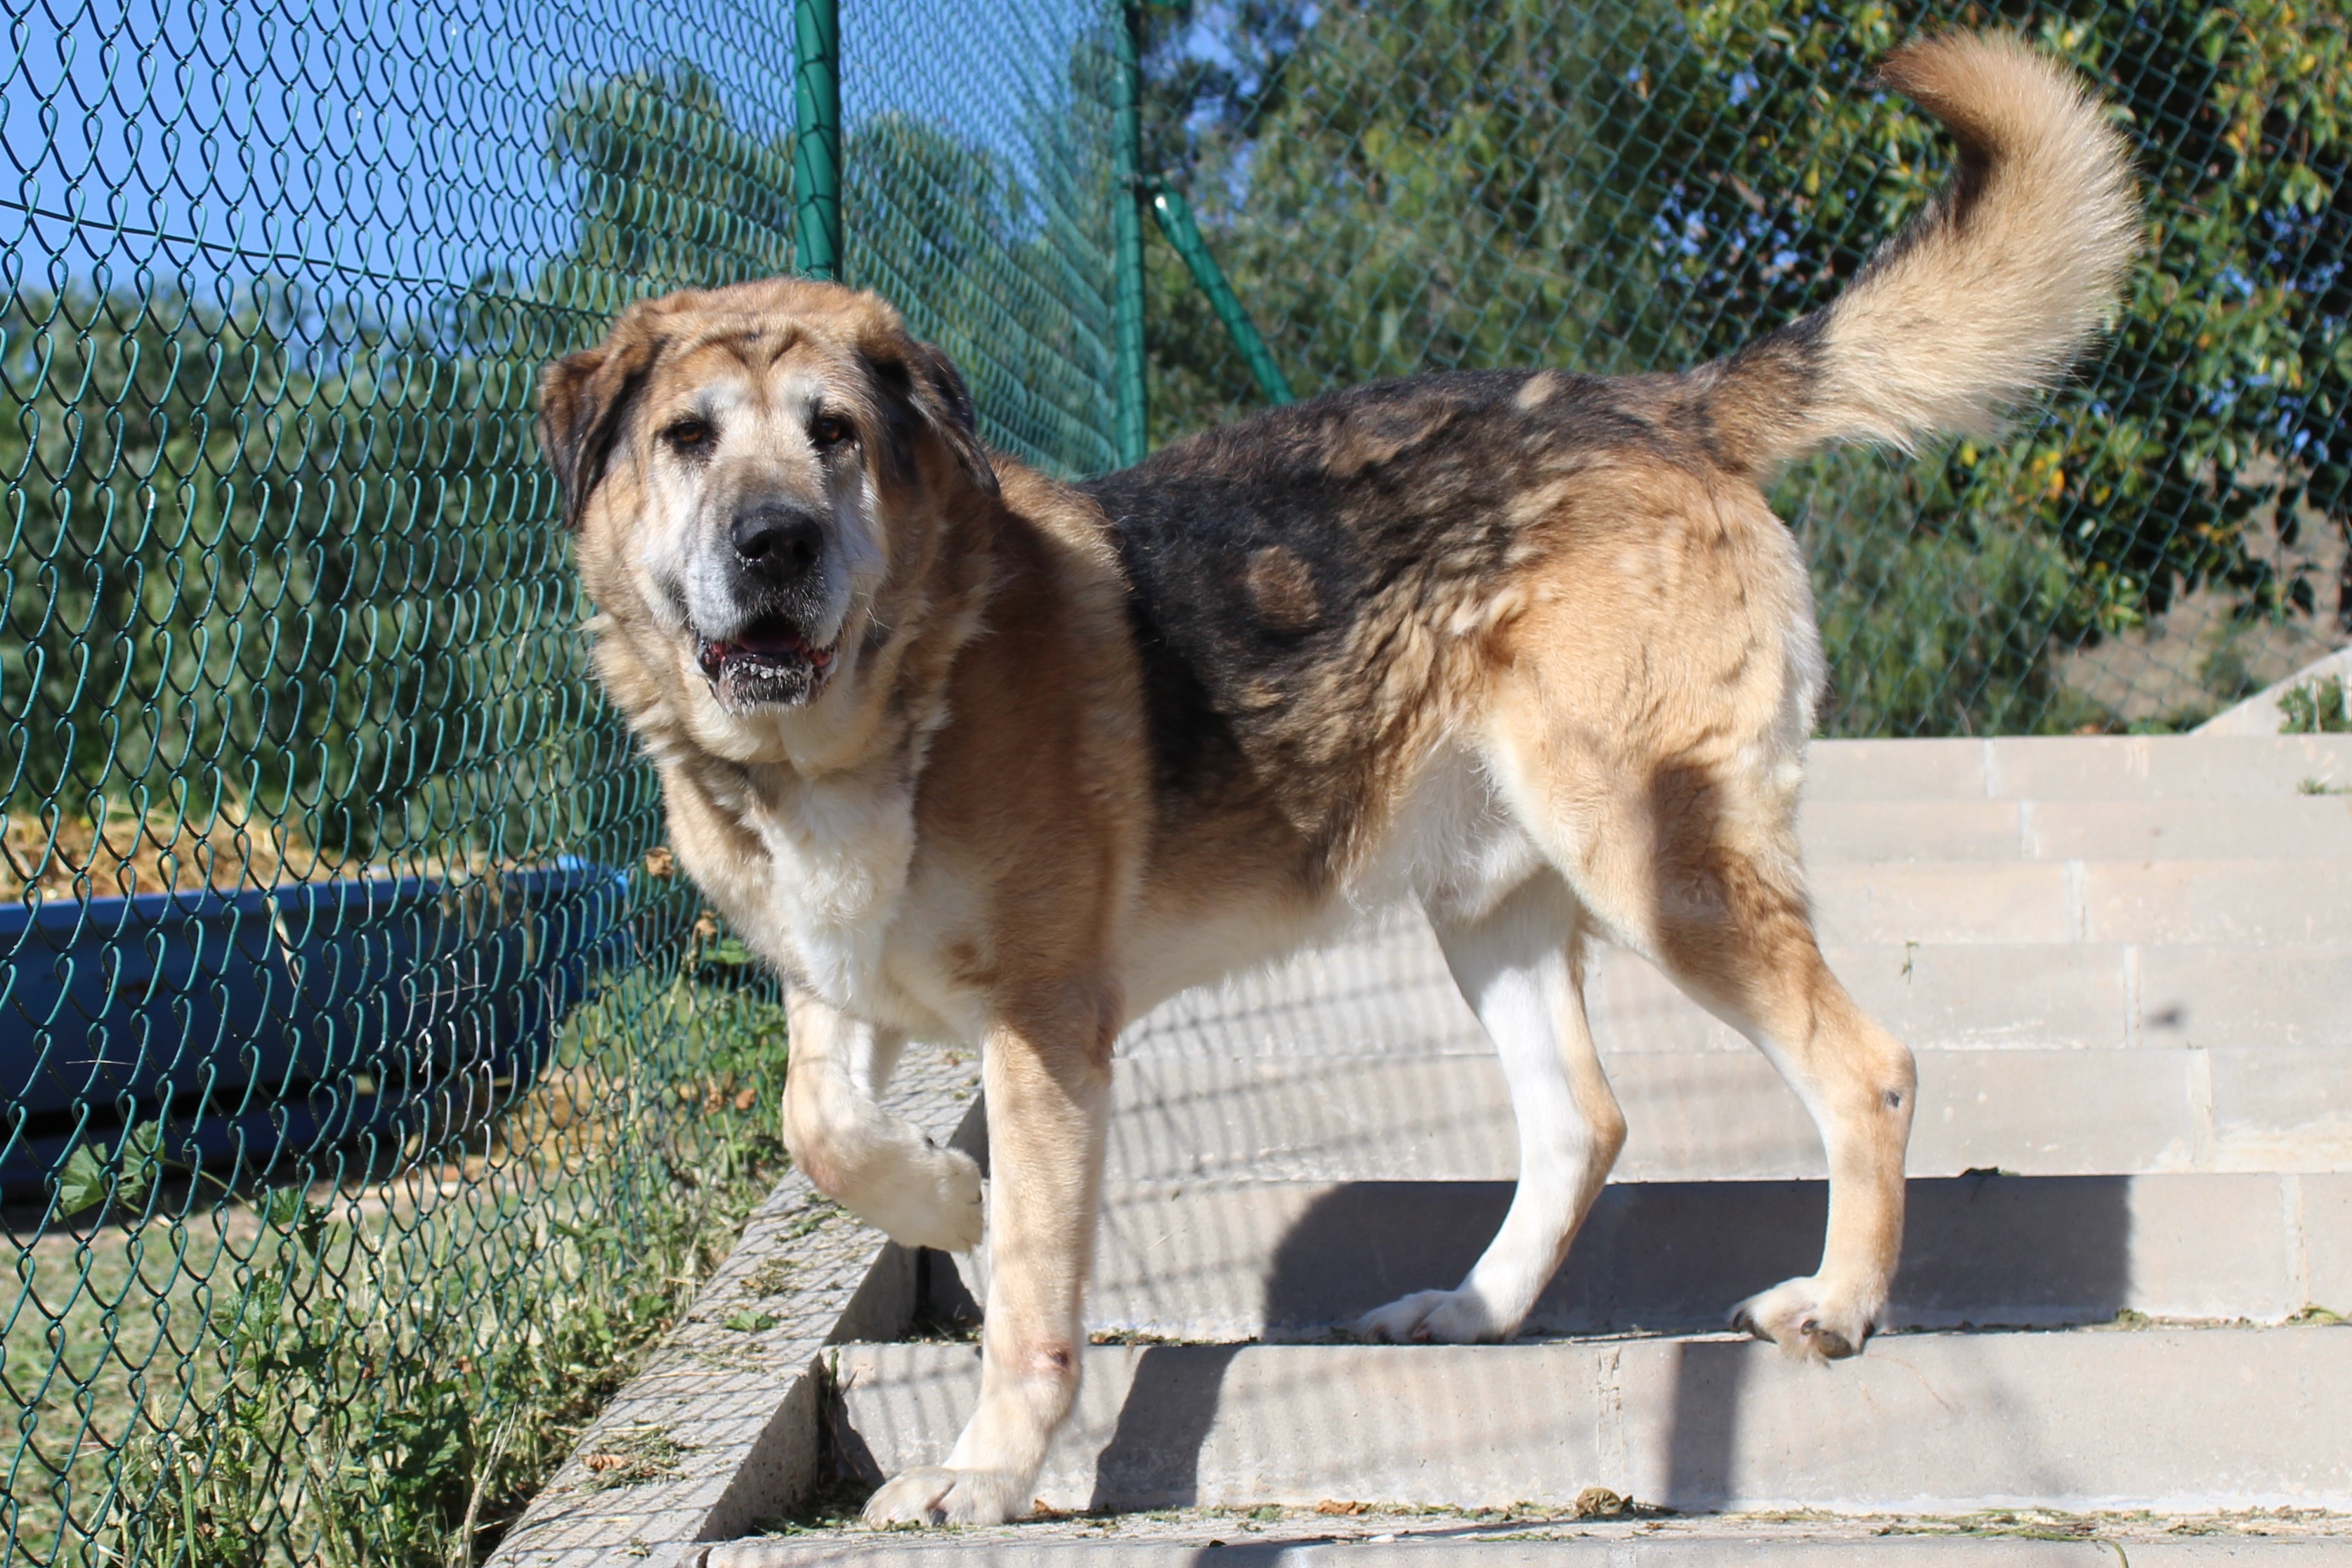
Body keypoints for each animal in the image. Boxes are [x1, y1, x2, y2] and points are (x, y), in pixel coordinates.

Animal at [541, 34, 2145, 1532]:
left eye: (838, 437)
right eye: (688, 438)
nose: (775, 543)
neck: (881, 710)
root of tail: (1659, 403)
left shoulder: (1049, 1031)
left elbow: (1035, 1309)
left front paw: (988, 1468)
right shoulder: (838, 988)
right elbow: (819, 1133)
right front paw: (947, 1201)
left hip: (1656, 862)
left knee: (1864, 1068)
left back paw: (1841, 1305)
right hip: (1494, 908)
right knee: (1582, 1122)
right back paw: (1477, 1310)